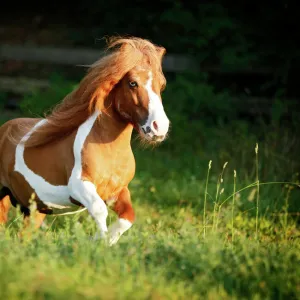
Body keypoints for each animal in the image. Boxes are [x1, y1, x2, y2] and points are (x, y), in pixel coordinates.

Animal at [0, 36, 169, 245]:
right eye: (132, 83)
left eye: (162, 84)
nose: (159, 127)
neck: (110, 151)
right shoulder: (79, 186)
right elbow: (99, 210)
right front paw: (97, 242)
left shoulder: (118, 191)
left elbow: (127, 218)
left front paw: (106, 242)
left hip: (34, 210)